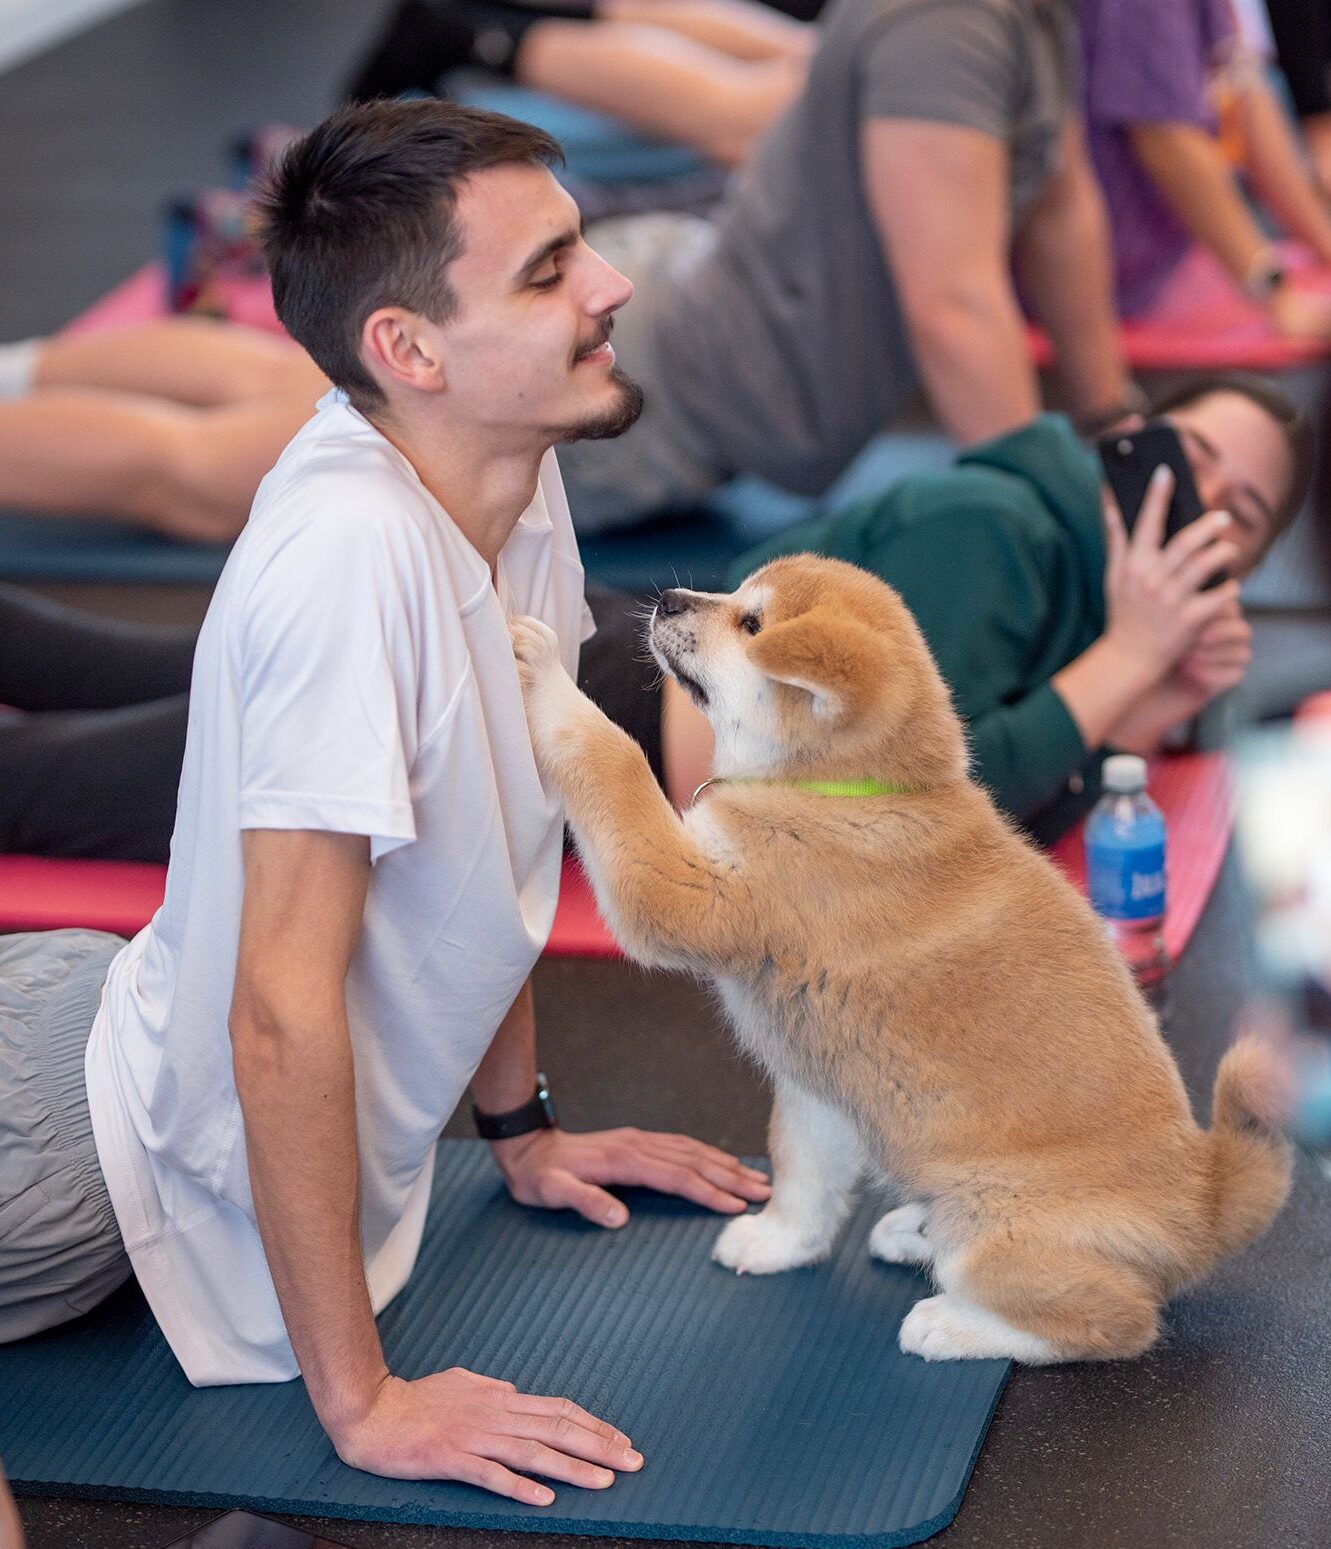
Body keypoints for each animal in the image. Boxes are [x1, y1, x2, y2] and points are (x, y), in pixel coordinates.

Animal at [511, 560, 1289, 1369]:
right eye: (734, 594)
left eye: (751, 624)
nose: (665, 599)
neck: (841, 793)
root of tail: (1206, 1197)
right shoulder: (818, 1088)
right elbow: (801, 1177)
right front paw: (780, 1242)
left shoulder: (674, 887)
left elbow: (613, 757)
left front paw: (545, 672)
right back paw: (914, 1231)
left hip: (1001, 1226)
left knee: (1113, 1320)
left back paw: (952, 1322)